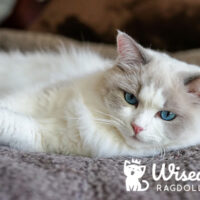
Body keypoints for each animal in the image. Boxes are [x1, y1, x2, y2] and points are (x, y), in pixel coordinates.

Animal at [0, 30, 200, 157]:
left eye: (167, 115)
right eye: (130, 98)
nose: (137, 127)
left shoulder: (44, 135)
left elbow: (13, 123)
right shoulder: (42, 95)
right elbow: (10, 104)